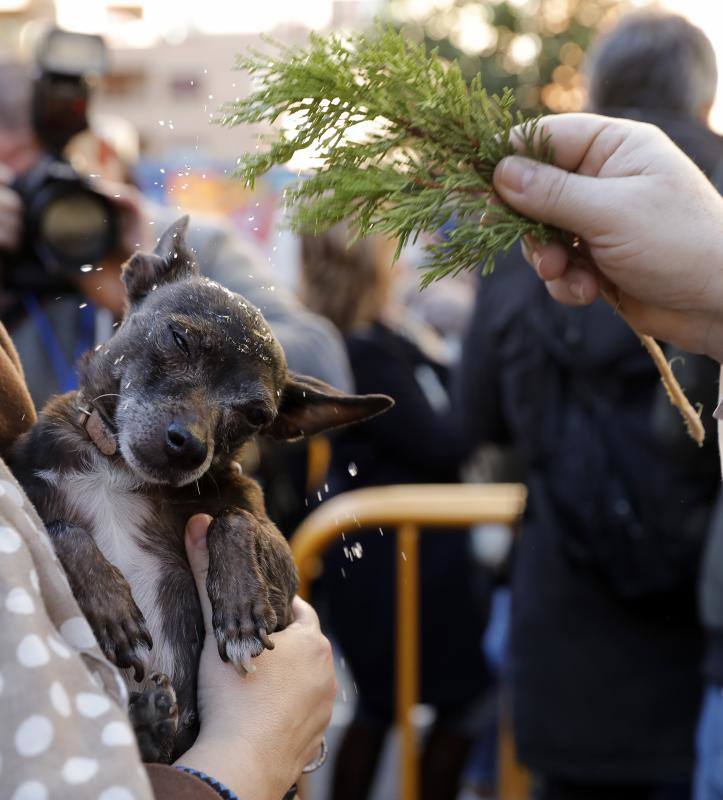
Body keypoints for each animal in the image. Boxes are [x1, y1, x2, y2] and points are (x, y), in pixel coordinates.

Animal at [8, 217, 394, 764]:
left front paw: (239, 610)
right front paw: (111, 605)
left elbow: (233, 519)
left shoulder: (285, 570)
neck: (117, 470)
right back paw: (146, 721)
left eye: (256, 416)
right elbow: (63, 529)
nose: (191, 446)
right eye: (178, 338)